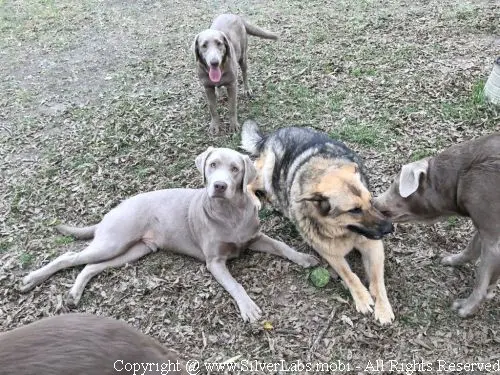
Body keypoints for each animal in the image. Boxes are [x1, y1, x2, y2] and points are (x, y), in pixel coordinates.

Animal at [21, 147, 318, 324]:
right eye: (212, 165)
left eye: (235, 169)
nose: (219, 186)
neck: (230, 213)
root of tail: (113, 210)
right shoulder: (214, 262)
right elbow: (236, 285)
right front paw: (248, 307)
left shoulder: (254, 238)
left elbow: (281, 245)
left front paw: (304, 258)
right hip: (113, 241)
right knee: (70, 256)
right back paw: (31, 279)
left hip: (132, 250)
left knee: (90, 267)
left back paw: (73, 294)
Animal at [241, 121, 394, 326]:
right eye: (354, 210)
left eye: (370, 201)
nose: (390, 228)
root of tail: (272, 134)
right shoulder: (329, 252)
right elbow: (349, 274)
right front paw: (362, 297)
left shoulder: (373, 245)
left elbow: (377, 279)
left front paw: (383, 307)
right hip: (267, 171)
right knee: (250, 183)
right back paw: (257, 200)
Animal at [376, 134, 500, 318]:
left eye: (395, 184)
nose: (373, 201)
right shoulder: (484, 223)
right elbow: (472, 248)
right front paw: (446, 260)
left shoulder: (492, 234)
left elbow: (481, 278)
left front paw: (462, 309)